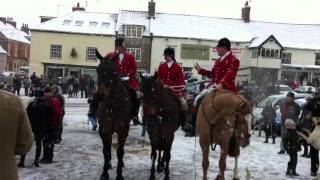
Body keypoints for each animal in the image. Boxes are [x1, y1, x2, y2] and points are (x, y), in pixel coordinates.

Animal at [91, 49, 132, 180]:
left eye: (113, 71)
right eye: (98, 70)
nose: (100, 95)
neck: (113, 104)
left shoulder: (123, 130)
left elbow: (120, 151)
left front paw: (119, 175)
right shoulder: (104, 130)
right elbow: (106, 151)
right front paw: (104, 173)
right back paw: (108, 165)